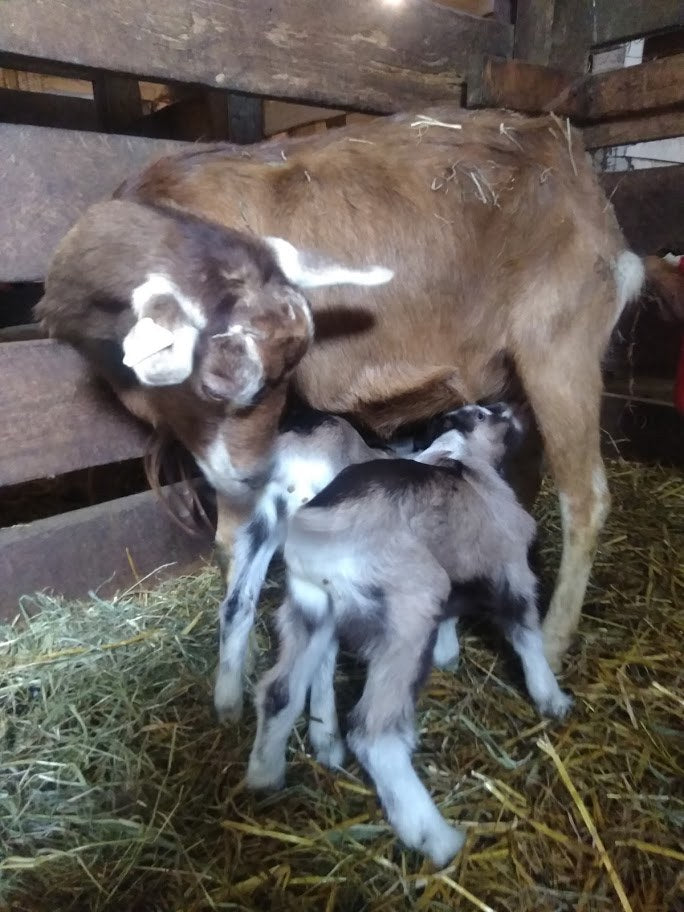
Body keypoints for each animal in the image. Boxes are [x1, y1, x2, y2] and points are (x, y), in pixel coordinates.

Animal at [37, 105, 679, 676]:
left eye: (277, 373)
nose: (245, 474)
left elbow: (233, 534)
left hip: (560, 344)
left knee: (586, 499)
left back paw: (551, 640)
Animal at [246, 403, 571, 867]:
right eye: (484, 413)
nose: (512, 408)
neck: (462, 460)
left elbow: (456, 616)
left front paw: (449, 654)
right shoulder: (510, 569)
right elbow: (526, 635)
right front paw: (552, 698)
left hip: (309, 611)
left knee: (279, 692)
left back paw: (264, 774)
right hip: (409, 611)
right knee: (371, 732)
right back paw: (436, 838)